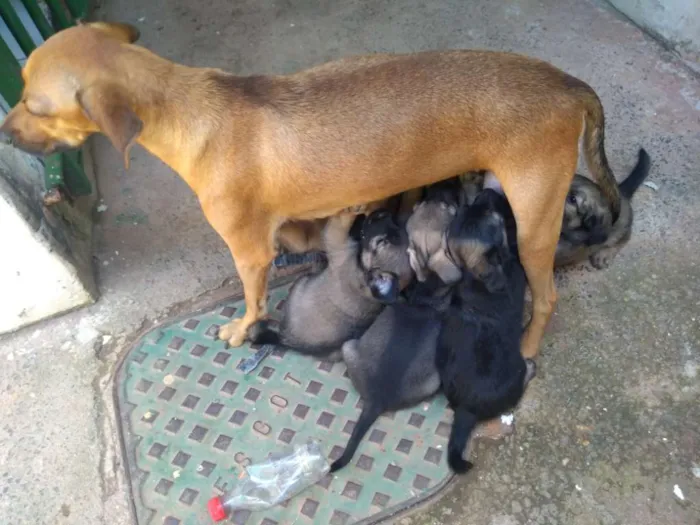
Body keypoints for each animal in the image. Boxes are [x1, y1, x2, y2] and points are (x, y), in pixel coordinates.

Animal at [247, 209, 412, 356]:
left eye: (381, 242)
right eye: (397, 225)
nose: (383, 213)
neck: (363, 270)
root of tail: (286, 338)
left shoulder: (338, 243)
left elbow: (338, 225)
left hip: (300, 283)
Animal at [440, 189, 540, 474]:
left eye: (471, 208)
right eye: (493, 217)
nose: (488, 190)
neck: (475, 278)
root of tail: (466, 409)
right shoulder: (515, 266)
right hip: (514, 372)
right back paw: (530, 370)